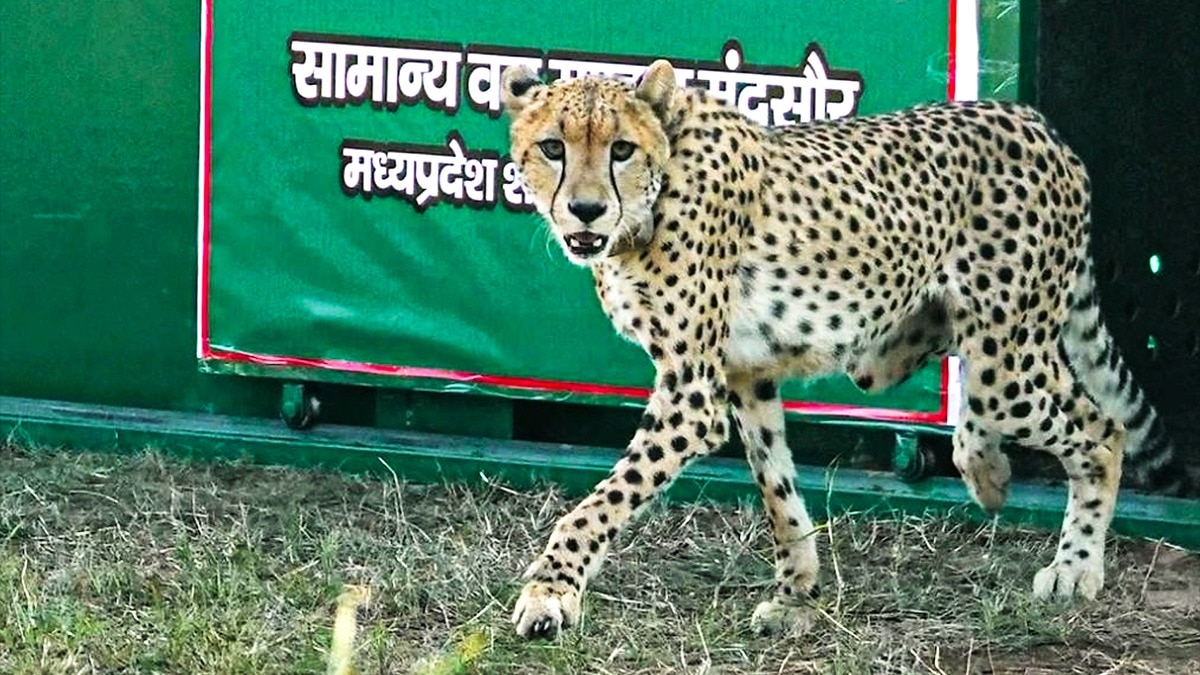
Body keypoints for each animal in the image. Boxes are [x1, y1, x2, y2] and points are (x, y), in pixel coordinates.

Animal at [497, 58, 1194, 640]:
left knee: (1100, 430)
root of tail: (1029, 116)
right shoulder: (747, 374)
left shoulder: (692, 395)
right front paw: (797, 592)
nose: (586, 210)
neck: (653, 196)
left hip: (1005, 353)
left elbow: (598, 504)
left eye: (621, 149)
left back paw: (1075, 565)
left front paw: (550, 592)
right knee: (983, 400)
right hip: (900, 349)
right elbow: (778, 490)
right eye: (553, 148)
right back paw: (988, 471)